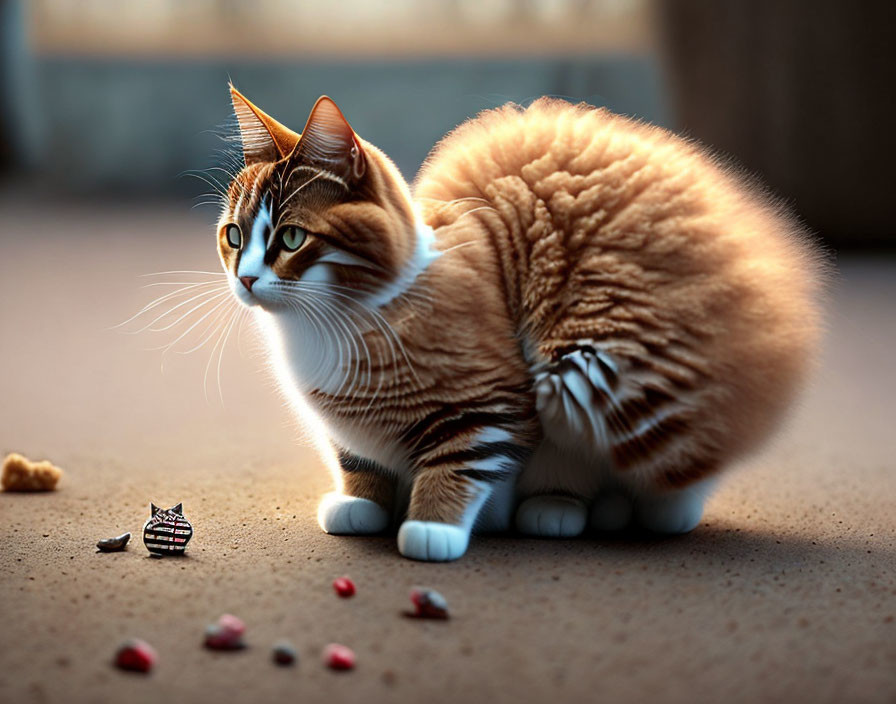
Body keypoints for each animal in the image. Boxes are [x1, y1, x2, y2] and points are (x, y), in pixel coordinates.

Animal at [215, 84, 820, 560]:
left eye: (292, 238)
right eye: (234, 236)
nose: (245, 279)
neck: (325, 325)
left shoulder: (490, 405)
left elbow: (459, 463)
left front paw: (432, 526)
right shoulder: (350, 433)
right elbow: (358, 461)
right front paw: (361, 502)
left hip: (585, 375)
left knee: (659, 473)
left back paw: (569, 507)